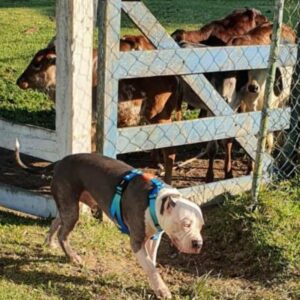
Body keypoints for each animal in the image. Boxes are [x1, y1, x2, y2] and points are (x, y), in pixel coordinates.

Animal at [14, 144, 204, 298]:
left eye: (201, 227)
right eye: (186, 224)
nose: (198, 243)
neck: (156, 200)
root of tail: (61, 161)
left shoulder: (154, 238)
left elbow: (152, 262)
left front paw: (154, 282)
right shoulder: (136, 241)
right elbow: (150, 266)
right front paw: (161, 289)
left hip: (68, 205)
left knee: (56, 220)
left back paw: (49, 242)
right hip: (71, 209)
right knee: (63, 233)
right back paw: (72, 256)